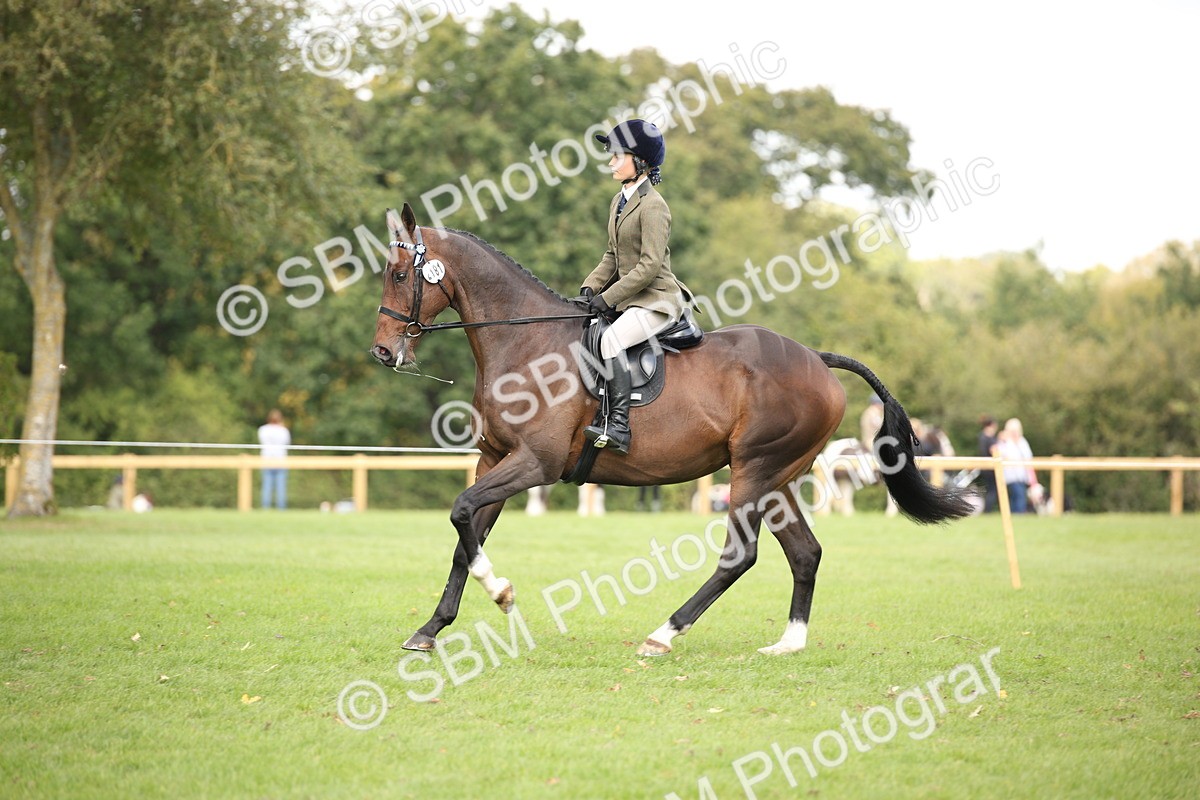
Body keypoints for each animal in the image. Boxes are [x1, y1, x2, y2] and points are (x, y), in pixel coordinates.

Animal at [370, 204, 973, 657]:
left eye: (399, 275)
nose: (383, 353)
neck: (524, 342)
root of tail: (817, 361)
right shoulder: (494, 459)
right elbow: (465, 533)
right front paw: (430, 630)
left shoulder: (533, 464)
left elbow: (461, 512)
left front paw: (502, 593)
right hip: (778, 478)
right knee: (805, 553)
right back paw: (788, 644)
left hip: (753, 470)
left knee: (740, 555)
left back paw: (664, 634)